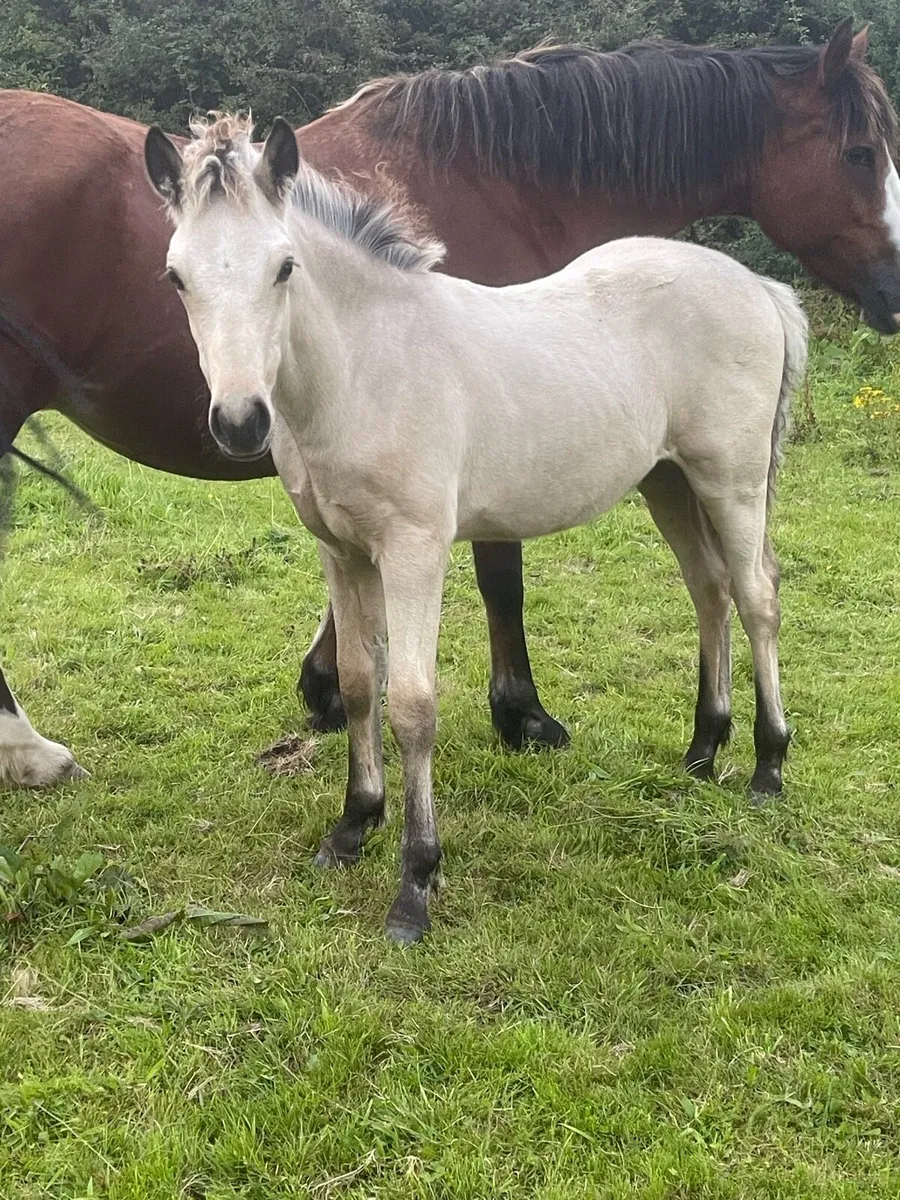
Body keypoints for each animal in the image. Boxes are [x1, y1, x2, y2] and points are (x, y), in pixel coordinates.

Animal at [0, 20, 896, 788]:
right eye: (859, 153)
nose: (894, 293)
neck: (503, 180)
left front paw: (325, 689)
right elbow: (500, 577)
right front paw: (521, 715)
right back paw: (34, 752)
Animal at [145, 113, 808, 941]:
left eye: (284, 267)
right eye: (177, 276)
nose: (239, 422)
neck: (365, 366)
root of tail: (759, 287)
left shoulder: (414, 550)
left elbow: (412, 704)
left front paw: (416, 883)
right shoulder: (343, 551)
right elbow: (358, 684)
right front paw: (352, 827)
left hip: (732, 480)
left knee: (757, 597)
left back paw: (767, 768)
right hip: (668, 482)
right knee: (709, 591)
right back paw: (700, 754)